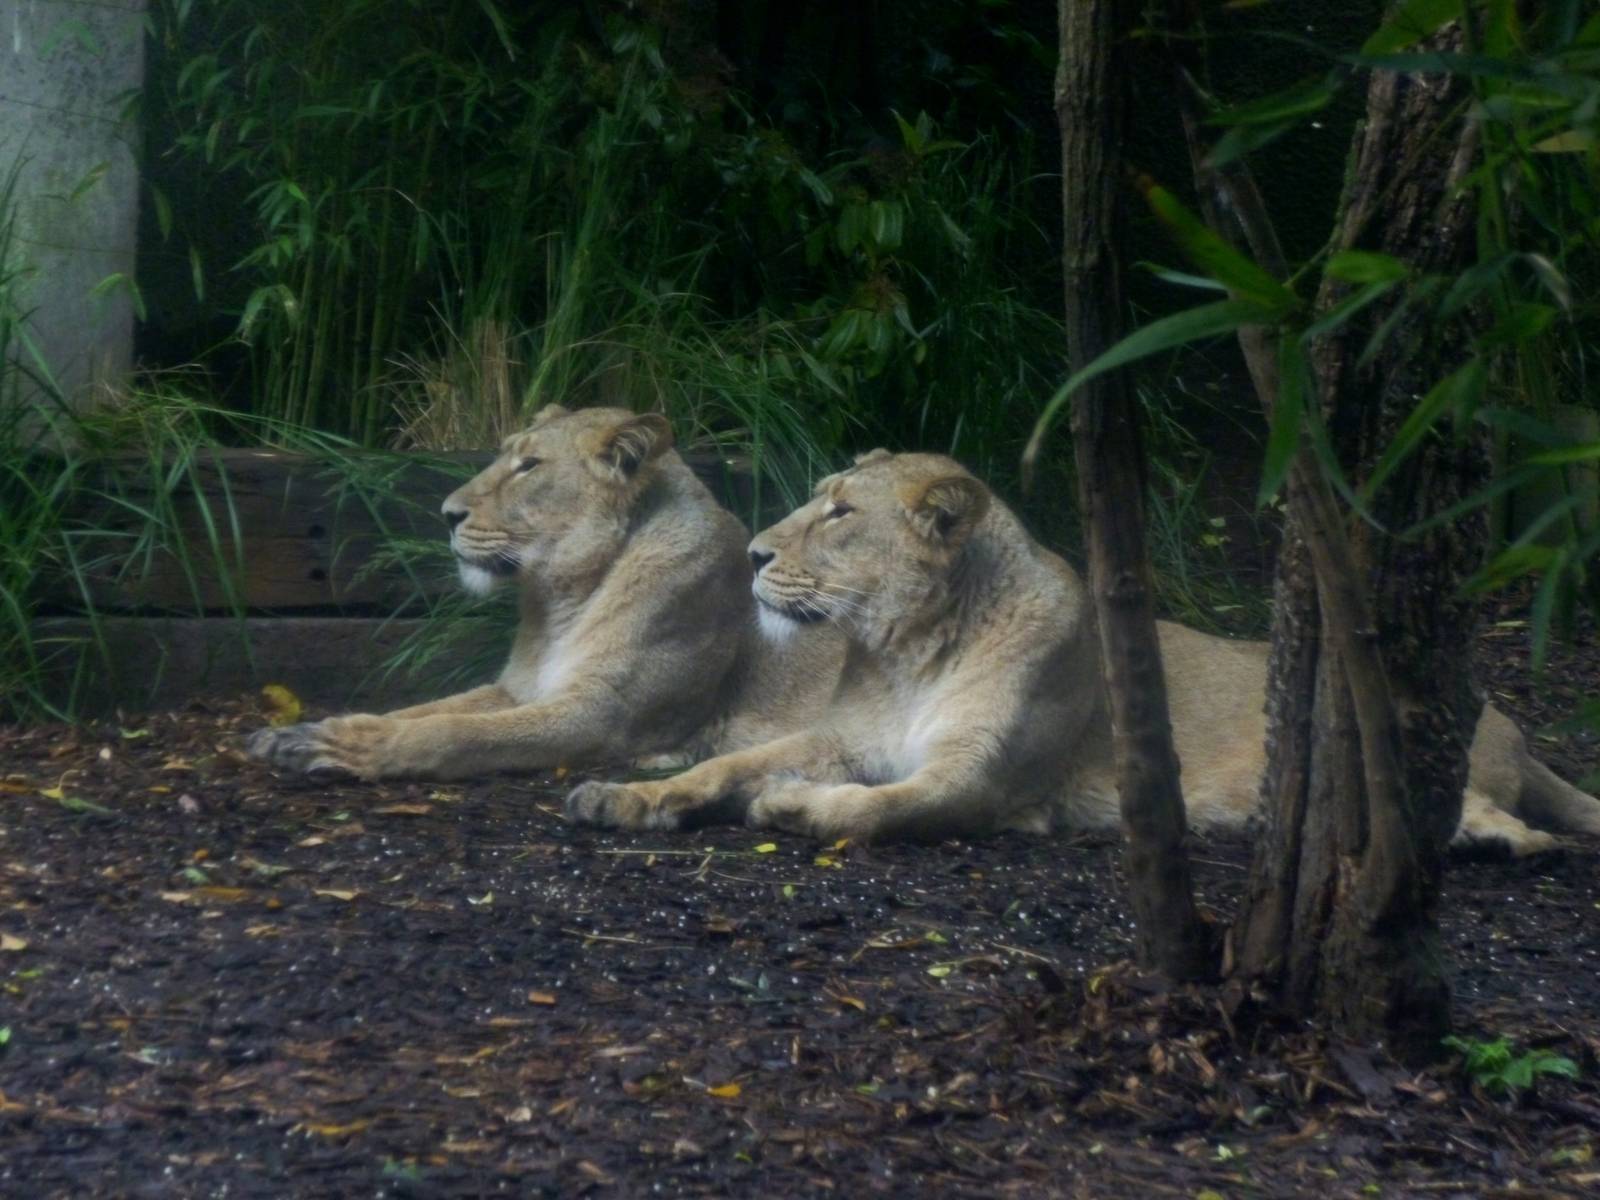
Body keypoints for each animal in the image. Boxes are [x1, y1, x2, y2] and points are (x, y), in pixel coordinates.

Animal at [246, 405, 841, 779]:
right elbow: (419, 710)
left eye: (528, 466)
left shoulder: (600, 714)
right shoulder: (517, 690)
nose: (446, 514)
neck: (563, 599)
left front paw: (353, 747)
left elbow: (452, 731)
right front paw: (301, 733)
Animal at [566, 450, 1600, 856]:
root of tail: (1514, 728)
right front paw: (626, 796)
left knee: (1487, 817)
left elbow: (887, 807)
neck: (906, 654)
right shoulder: (843, 737)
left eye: (843, 513)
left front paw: (795, 806)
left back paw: (1501, 839)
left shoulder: (981, 780)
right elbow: (723, 764)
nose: (751, 554)